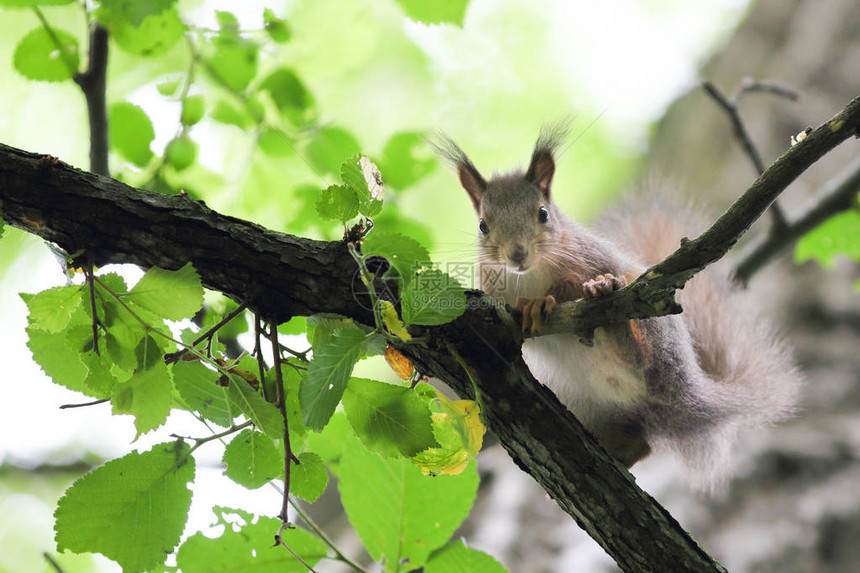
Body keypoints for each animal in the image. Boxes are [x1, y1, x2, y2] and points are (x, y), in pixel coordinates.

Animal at [440, 128, 804, 488]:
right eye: (483, 225)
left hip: (655, 334)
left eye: (543, 214)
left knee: (639, 356)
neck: (527, 276)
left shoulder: (588, 257)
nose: (517, 254)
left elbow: (570, 285)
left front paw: (544, 300)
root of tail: (686, 391)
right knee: (640, 443)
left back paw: (611, 311)